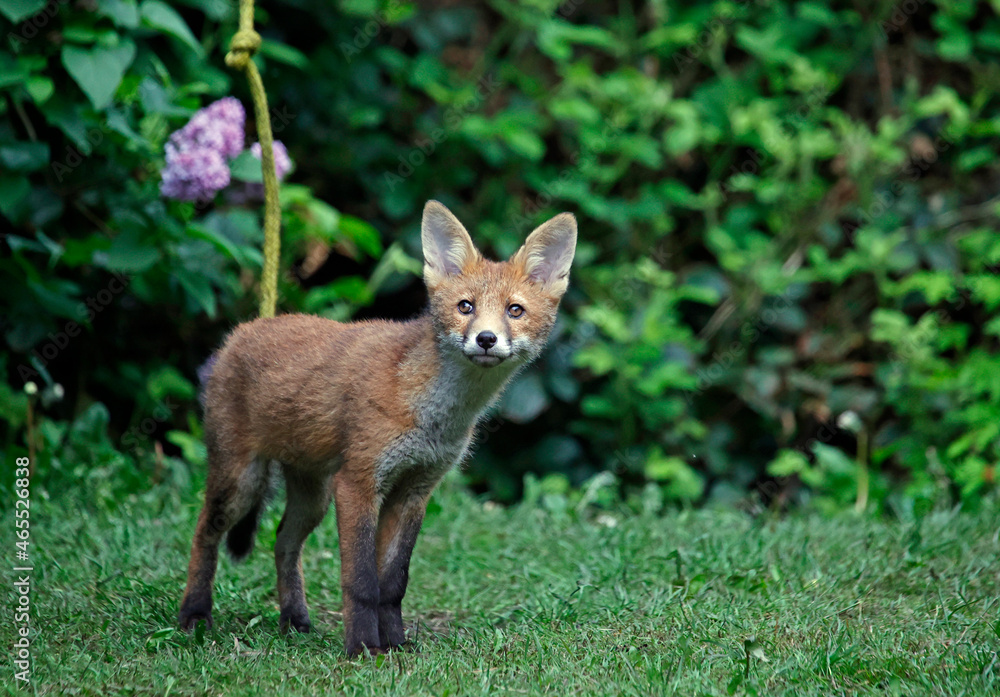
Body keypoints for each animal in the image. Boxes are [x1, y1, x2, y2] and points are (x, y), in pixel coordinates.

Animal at [178, 200, 577, 656]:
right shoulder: (359, 483)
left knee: (283, 543)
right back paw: (195, 615)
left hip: (313, 497)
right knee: (203, 534)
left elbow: (393, 583)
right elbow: (362, 582)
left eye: (515, 310)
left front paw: (396, 645)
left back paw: (294, 621)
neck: (433, 414)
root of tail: (243, 331)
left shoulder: (414, 490)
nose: (487, 339)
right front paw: (364, 649)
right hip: (240, 482)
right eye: (466, 307)